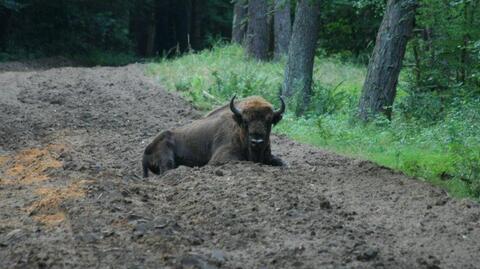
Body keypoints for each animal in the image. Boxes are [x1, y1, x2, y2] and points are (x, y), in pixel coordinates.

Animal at [142, 95, 284, 177]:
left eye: (269, 121)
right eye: (245, 121)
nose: (257, 141)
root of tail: (147, 149)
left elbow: (282, 162)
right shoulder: (221, 158)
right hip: (167, 159)